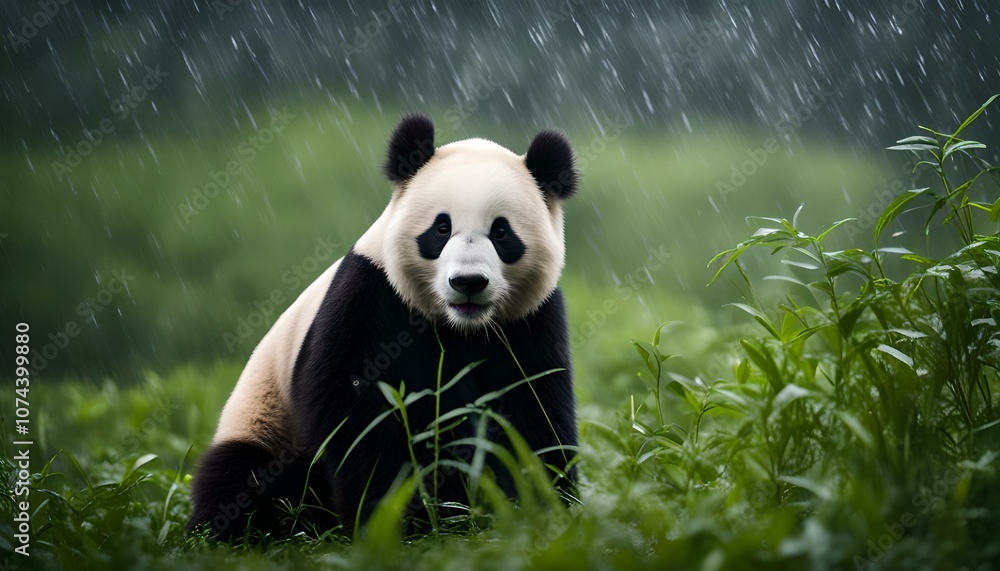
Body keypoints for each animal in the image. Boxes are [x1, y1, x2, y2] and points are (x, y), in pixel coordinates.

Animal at [188, 113, 580, 540]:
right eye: (441, 229)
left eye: (501, 232)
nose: (468, 283)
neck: (460, 326)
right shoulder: (370, 295)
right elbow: (357, 407)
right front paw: (394, 516)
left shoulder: (530, 320)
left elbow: (534, 406)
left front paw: (540, 505)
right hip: (266, 420)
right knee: (244, 478)